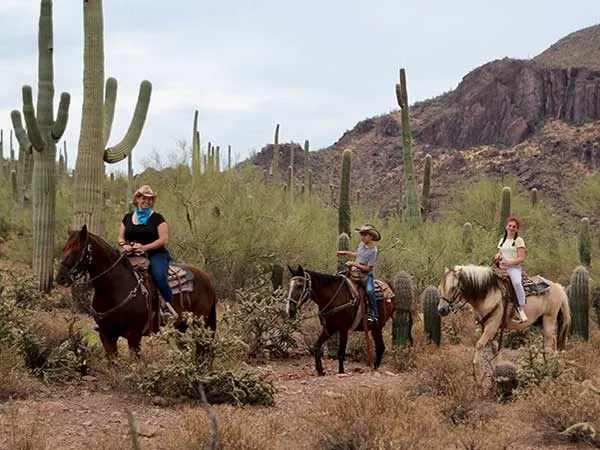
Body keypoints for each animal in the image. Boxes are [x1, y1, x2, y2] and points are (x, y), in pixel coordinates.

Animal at [54, 227, 218, 356]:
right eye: (64, 249)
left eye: (76, 250)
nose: (60, 278)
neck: (115, 289)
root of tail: (207, 278)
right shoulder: (106, 334)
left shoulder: (134, 335)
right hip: (181, 327)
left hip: (199, 325)